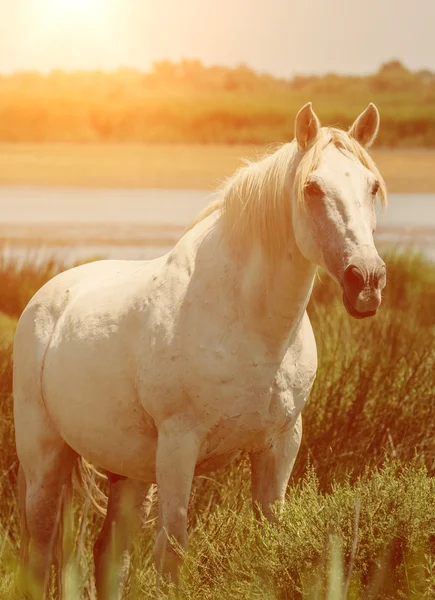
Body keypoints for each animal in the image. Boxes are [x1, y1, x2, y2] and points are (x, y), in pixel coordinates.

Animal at [13, 103, 388, 596]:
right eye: (311, 187)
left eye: (372, 185)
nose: (366, 282)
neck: (250, 327)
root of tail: (49, 295)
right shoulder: (179, 445)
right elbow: (172, 552)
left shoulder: (281, 443)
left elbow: (271, 541)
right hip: (44, 455)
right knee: (40, 551)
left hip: (129, 472)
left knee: (109, 555)